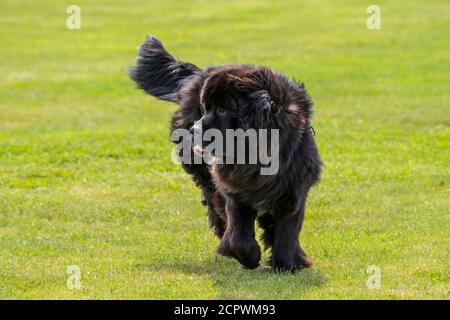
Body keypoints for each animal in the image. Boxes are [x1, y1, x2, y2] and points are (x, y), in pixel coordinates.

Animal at [128, 36, 322, 272]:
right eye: (205, 108)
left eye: (222, 110)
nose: (193, 130)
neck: (254, 155)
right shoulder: (235, 191)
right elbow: (239, 234)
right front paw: (248, 256)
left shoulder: (292, 189)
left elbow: (287, 232)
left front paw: (287, 265)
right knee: (214, 204)